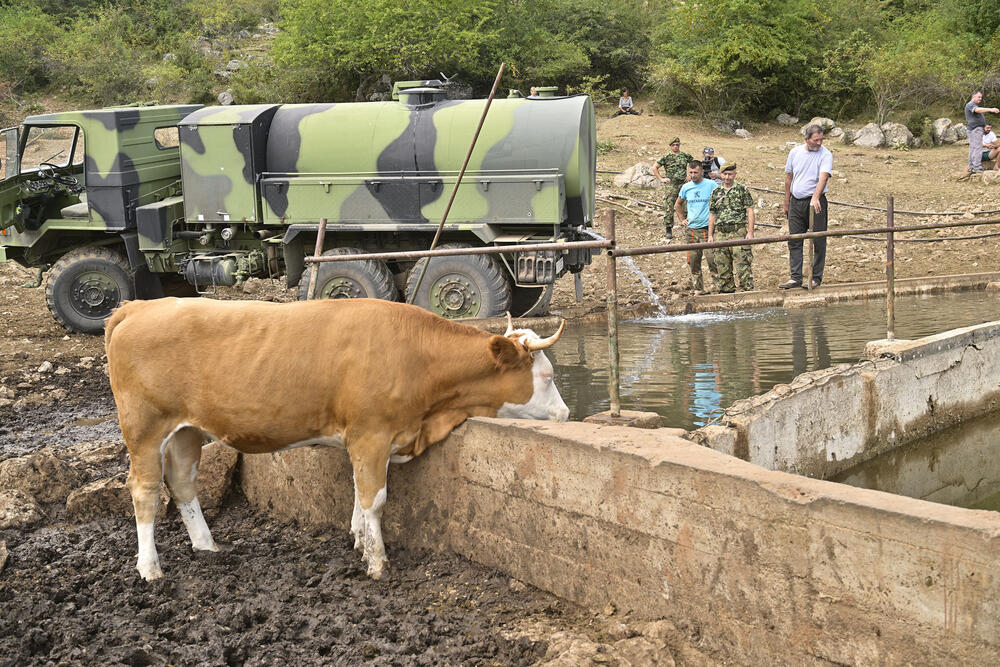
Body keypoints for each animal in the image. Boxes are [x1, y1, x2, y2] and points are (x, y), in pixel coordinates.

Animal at [106, 298, 572, 580]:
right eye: (548, 377)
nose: (567, 415)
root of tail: (140, 306)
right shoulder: (372, 433)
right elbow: (375, 499)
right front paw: (377, 561)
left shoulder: (364, 439)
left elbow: (357, 495)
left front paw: (359, 542)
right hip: (144, 429)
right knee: (145, 491)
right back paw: (150, 568)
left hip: (186, 430)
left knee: (183, 483)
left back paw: (207, 547)